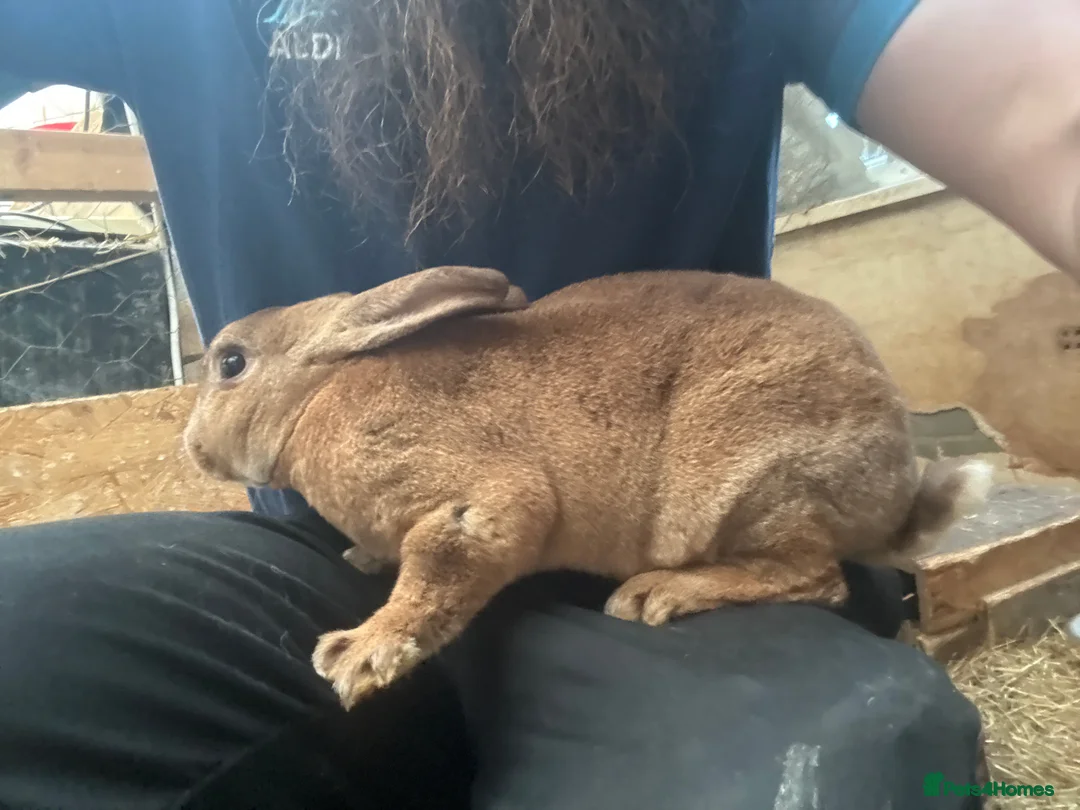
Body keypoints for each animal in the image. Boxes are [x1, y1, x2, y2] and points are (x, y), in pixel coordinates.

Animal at [183, 265, 993, 709]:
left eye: (230, 363)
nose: (191, 446)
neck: (316, 398)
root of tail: (896, 497)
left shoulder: (479, 503)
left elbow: (438, 576)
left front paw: (357, 656)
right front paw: (362, 562)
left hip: (756, 484)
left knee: (816, 578)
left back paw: (656, 595)